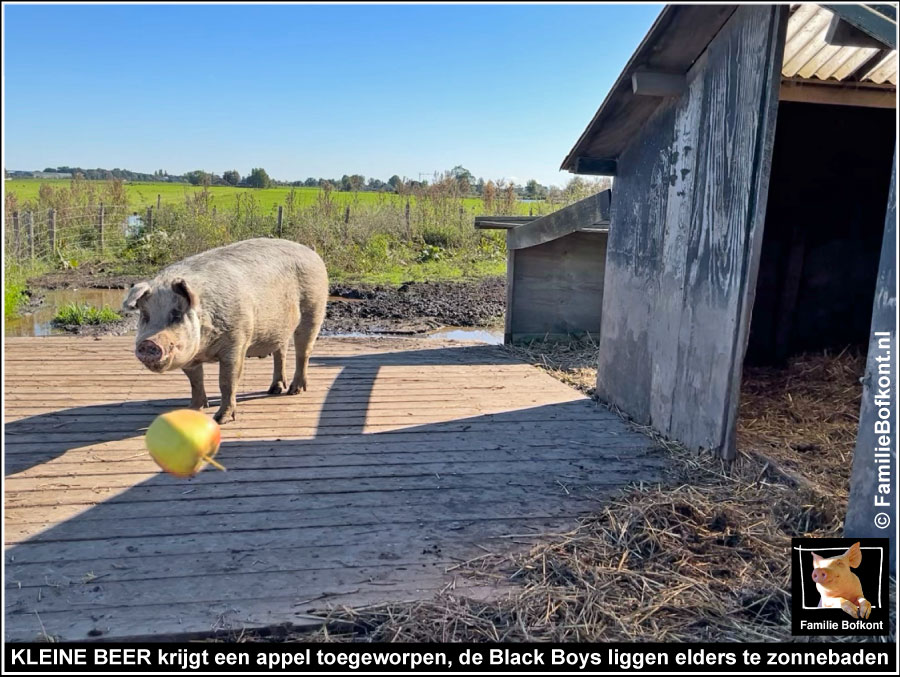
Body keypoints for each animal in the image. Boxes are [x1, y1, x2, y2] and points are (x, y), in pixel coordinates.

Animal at [121, 235, 326, 420]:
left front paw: (221, 419)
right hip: (280, 327)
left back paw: (294, 391)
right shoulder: (191, 357)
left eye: (177, 315)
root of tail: (312, 252)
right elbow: (195, 382)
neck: (204, 348)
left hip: (314, 309)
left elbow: (227, 382)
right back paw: (274, 389)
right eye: (145, 316)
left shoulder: (237, 342)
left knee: (303, 352)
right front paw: (193, 409)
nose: (148, 343)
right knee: (280, 352)